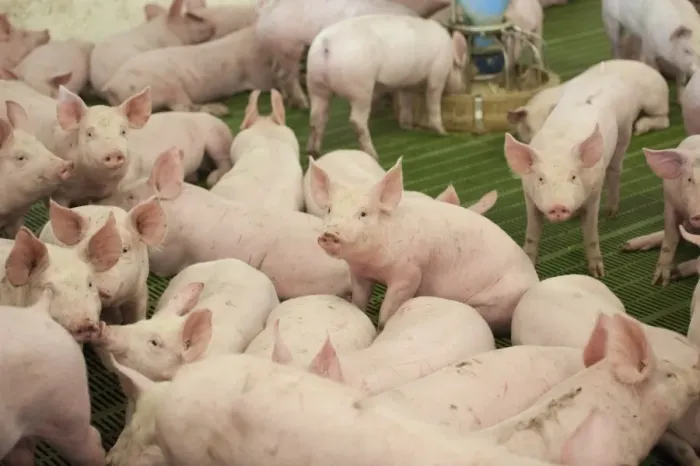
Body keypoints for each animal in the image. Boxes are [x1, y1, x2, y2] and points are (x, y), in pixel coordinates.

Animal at [255, 0, 417, 110]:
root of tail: (264, 11)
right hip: (289, 47)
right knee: (287, 75)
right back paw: (304, 104)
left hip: (277, 49)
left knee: (277, 71)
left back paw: (287, 100)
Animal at [305, 15, 468, 160]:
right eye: (462, 69)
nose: (463, 87)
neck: (450, 55)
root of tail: (327, 44)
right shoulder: (438, 72)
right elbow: (433, 99)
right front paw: (444, 133)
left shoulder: (406, 82)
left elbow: (406, 102)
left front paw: (407, 127)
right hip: (360, 88)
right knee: (356, 121)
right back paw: (373, 155)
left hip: (315, 84)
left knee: (316, 117)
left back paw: (313, 152)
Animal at [307, 156, 538, 333]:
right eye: (330, 210)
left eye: (363, 213)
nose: (330, 234)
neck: (371, 263)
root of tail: (534, 280)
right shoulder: (359, 273)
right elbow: (359, 300)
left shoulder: (409, 273)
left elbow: (387, 312)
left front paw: (381, 328)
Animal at [503, 76, 635, 278]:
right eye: (541, 179)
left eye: (573, 177)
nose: (558, 206)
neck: (558, 148)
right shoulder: (528, 195)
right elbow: (532, 233)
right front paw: (530, 262)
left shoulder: (594, 193)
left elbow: (591, 234)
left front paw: (599, 274)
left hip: (625, 129)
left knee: (615, 169)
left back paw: (611, 213)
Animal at [621, 136, 700, 286]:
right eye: (689, 179)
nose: (698, 215)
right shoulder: (669, 202)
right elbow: (670, 238)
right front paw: (659, 282)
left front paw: (670, 277)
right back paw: (627, 245)